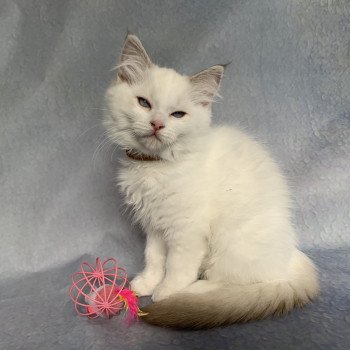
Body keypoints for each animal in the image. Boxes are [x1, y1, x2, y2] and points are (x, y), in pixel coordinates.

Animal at [102, 34, 318, 328]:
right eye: (144, 103)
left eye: (177, 115)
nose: (157, 124)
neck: (157, 166)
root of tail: (292, 255)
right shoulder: (154, 225)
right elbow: (154, 258)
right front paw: (147, 283)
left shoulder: (187, 230)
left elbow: (176, 266)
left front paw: (166, 291)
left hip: (231, 243)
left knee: (241, 283)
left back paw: (193, 292)